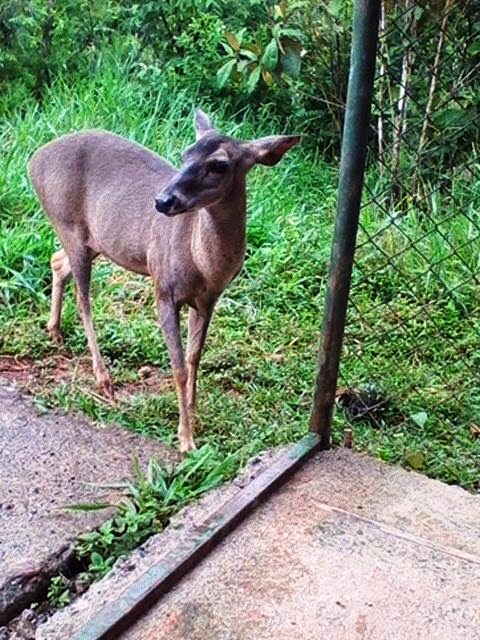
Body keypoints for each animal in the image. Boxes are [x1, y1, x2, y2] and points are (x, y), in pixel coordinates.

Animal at [28, 111, 298, 450]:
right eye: (185, 154)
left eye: (219, 165)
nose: (163, 201)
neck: (203, 264)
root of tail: (34, 159)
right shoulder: (164, 289)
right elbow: (179, 366)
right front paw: (186, 439)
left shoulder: (208, 300)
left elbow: (195, 358)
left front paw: (193, 409)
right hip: (68, 224)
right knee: (83, 298)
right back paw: (103, 378)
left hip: (93, 241)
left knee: (56, 261)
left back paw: (54, 331)